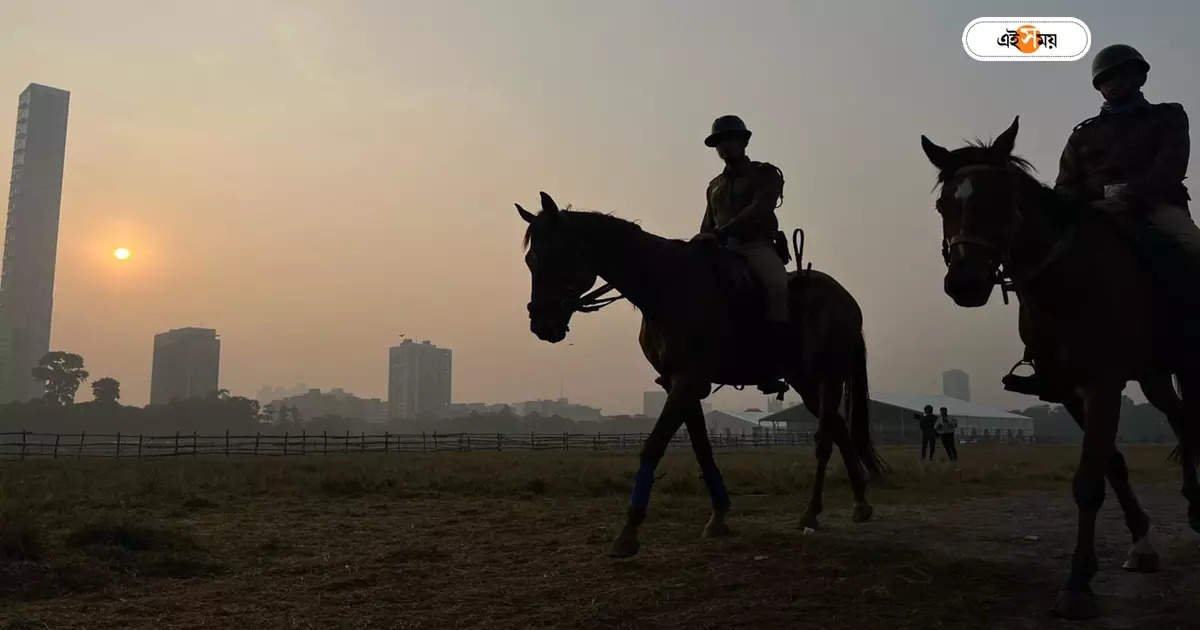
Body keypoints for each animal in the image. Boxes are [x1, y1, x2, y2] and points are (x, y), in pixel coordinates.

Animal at [516, 190, 883, 554]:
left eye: (556, 256)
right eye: (531, 260)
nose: (541, 324)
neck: (666, 287)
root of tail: (847, 301)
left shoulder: (688, 381)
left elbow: (653, 445)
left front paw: (629, 531)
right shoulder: (677, 384)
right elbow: (701, 446)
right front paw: (718, 515)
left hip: (829, 376)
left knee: (824, 438)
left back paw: (811, 513)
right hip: (805, 382)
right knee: (839, 429)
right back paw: (860, 503)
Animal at [916, 117, 1200, 619]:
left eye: (1000, 197)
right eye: (943, 204)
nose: (965, 282)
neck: (1068, 285)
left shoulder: (1103, 385)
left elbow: (1089, 480)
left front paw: (1078, 585)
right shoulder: (1069, 391)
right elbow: (1112, 465)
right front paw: (1141, 544)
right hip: (1152, 376)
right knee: (1182, 422)